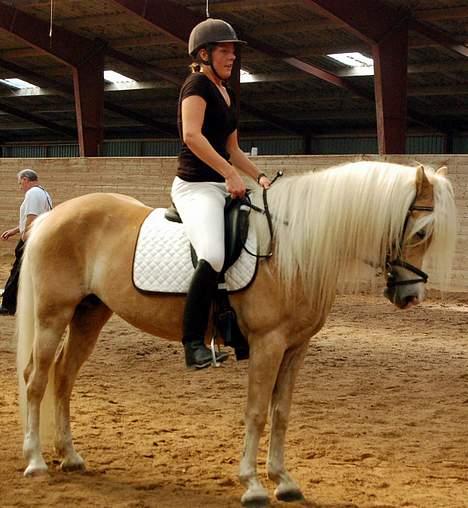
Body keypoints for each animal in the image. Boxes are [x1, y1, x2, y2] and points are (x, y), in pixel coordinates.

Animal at [17, 161, 454, 506]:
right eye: (420, 233)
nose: (411, 297)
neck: (293, 246)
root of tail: (52, 218)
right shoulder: (268, 344)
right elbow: (257, 411)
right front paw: (254, 485)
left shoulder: (296, 347)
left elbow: (281, 412)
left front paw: (284, 481)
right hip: (53, 316)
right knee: (36, 381)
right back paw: (36, 461)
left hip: (90, 315)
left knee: (64, 378)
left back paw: (71, 457)